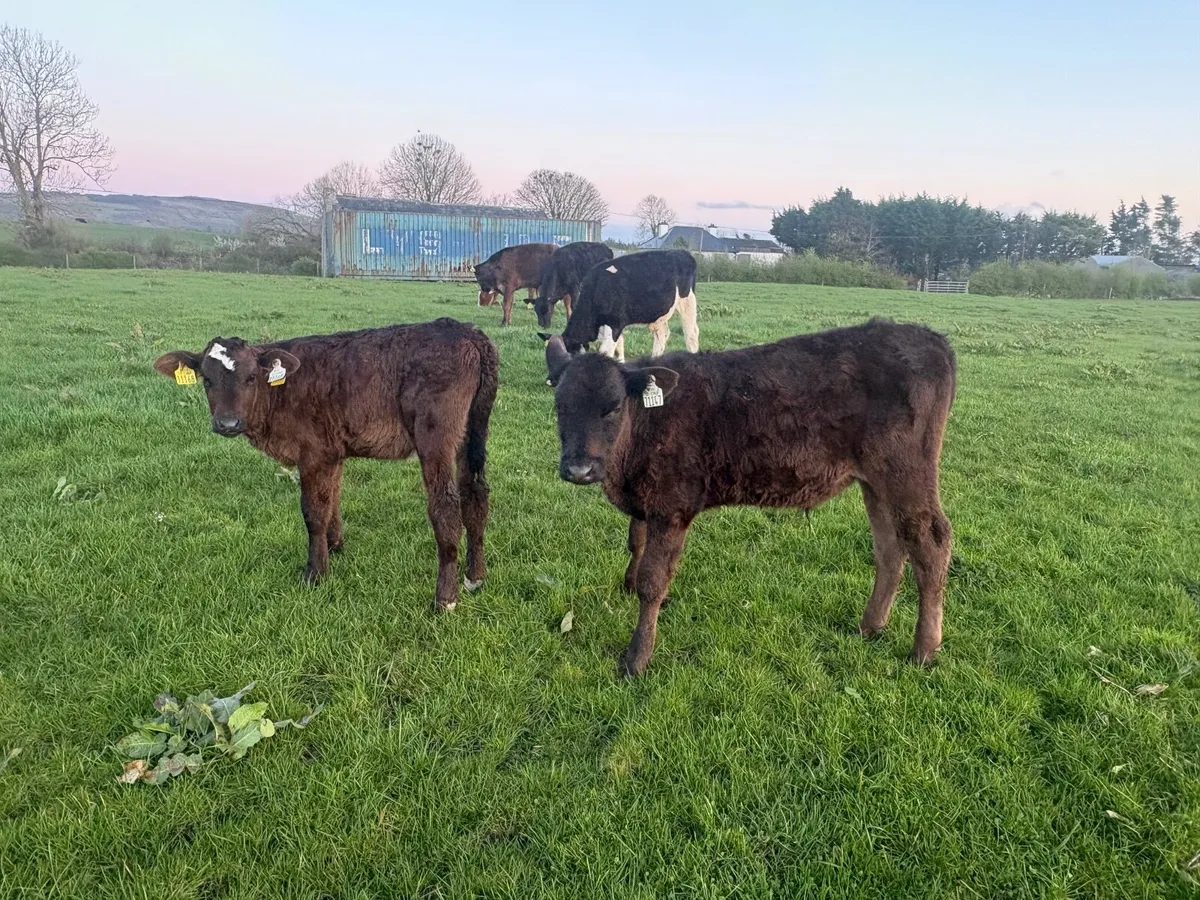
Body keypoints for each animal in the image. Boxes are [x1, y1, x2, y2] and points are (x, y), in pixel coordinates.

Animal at [153, 319, 498, 612]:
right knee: (476, 494)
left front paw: (315, 572)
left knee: (446, 507)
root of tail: (466, 331)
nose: (227, 423)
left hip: (435, 436)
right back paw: (475, 577)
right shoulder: (333, 453)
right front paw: (334, 546)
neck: (279, 392)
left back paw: (445, 598)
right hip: (472, 433)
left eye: (250, 377)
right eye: (207, 380)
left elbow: (313, 512)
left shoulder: (314, 453)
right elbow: (332, 498)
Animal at [542, 250, 699, 383]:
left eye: (564, 356)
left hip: (687, 301)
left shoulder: (615, 324)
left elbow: (606, 351)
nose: (549, 380)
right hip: (659, 315)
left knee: (691, 334)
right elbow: (619, 346)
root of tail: (681, 252)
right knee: (662, 334)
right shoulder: (612, 326)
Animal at [553, 318, 956, 678]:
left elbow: (652, 581)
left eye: (613, 407)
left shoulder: (672, 507)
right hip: (875, 483)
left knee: (931, 542)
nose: (579, 469)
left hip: (906, 473)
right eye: (559, 406)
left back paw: (924, 650)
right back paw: (870, 626)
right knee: (890, 547)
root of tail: (931, 338)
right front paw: (632, 585)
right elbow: (635, 543)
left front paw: (636, 658)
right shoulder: (645, 501)